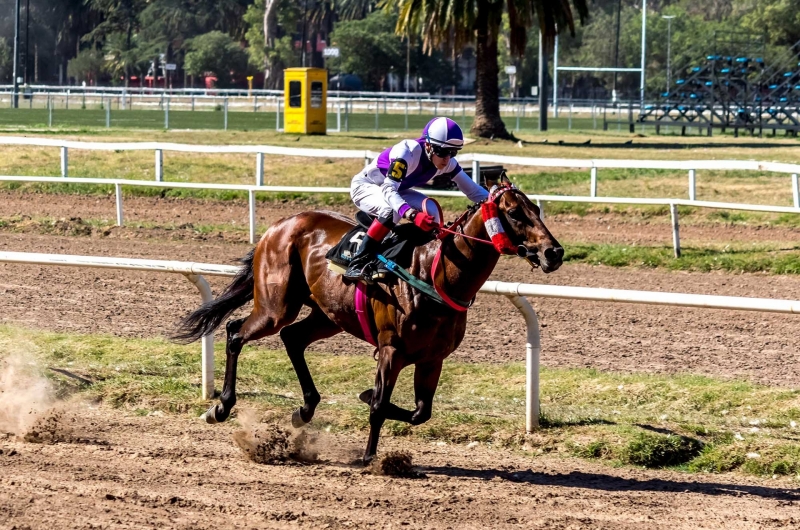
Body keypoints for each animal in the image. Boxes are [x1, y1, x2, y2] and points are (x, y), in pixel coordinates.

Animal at [175, 178, 564, 462]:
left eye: (536, 208)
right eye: (514, 213)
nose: (554, 252)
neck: (435, 274)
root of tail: (279, 226)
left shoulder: (432, 359)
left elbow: (421, 412)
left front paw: (365, 397)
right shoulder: (391, 350)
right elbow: (379, 407)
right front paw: (369, 456)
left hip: (328, 315)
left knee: (292, 338)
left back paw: (305, 408)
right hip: (276, 306)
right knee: (235, 332)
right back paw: (221, 406)